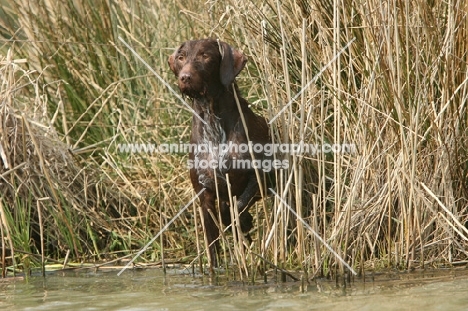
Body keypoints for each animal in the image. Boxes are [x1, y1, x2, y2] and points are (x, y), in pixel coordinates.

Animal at [168, 38, 272, 268]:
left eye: (205, 56)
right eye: (181, 57)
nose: (185, 77)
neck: (212, 116)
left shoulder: (258, 178)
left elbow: (237, 207)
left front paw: (242, 221)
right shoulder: (204, 195)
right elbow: (212, 243)